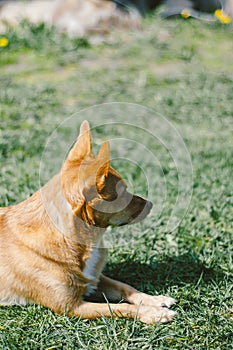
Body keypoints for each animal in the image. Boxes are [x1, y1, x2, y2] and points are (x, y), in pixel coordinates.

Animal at [0, 121, 175, 324]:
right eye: (123, 193)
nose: (151, 204)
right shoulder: (71, 307)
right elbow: (118, 307)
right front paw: (153, 313)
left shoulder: (95, 279)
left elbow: (126, 287)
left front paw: (154, 300)